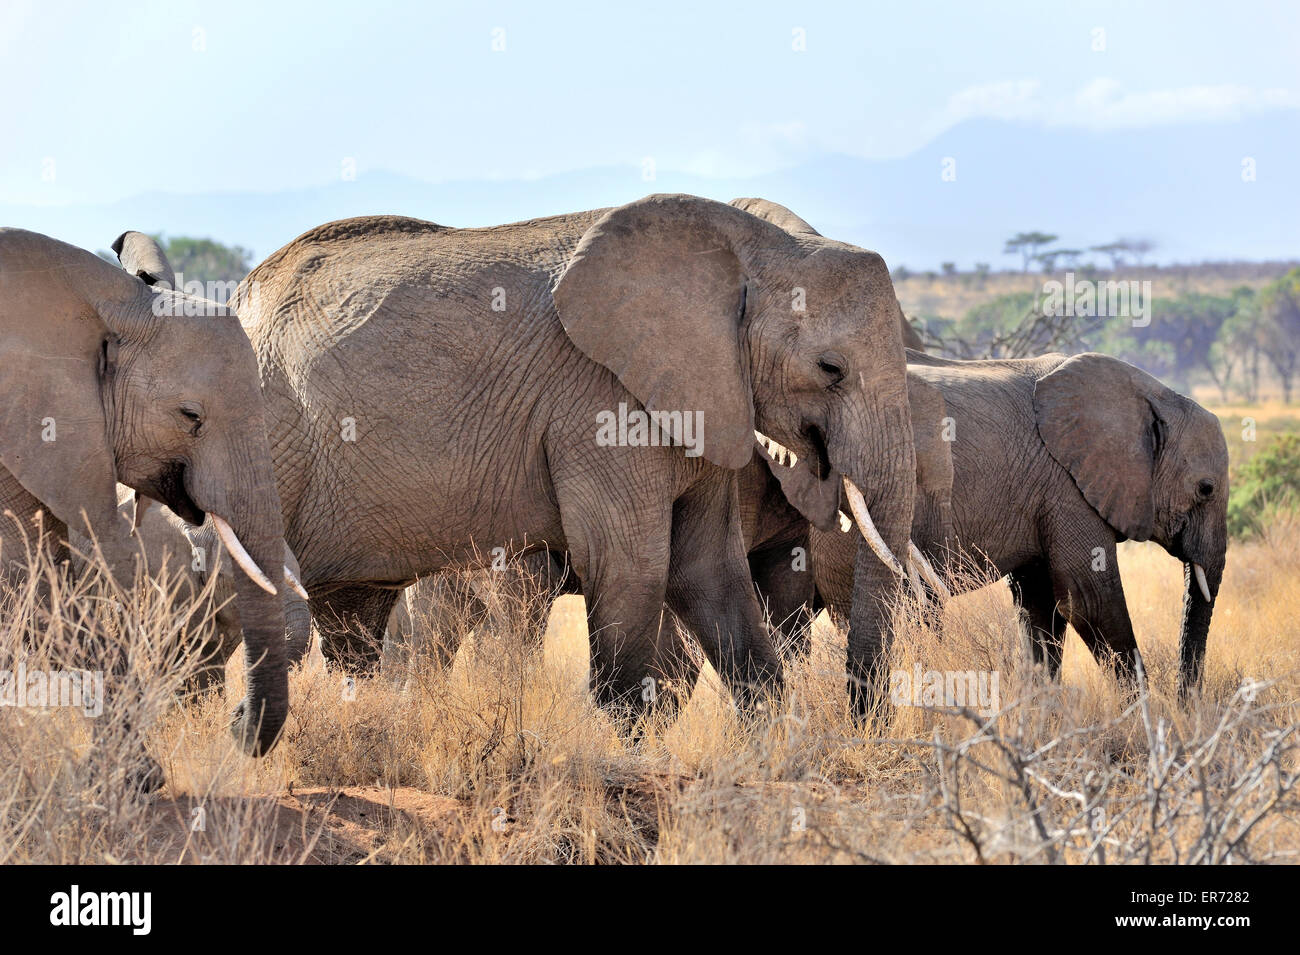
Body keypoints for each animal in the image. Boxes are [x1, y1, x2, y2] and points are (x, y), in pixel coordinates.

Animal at [0, 227, 295, 779]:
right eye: (190, 416)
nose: (236, 721)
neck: (107, 300)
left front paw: (133, 776)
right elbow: (35, 583)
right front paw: (135, 778)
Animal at [119, 192, 915, 717]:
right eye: (831, 368)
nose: (859, 715)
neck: (751, 249)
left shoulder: (707, 399)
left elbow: (708, 572)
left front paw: (775, 749)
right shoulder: (598, 403)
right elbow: (631, 564)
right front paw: (627, 747)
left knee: (351, 619)